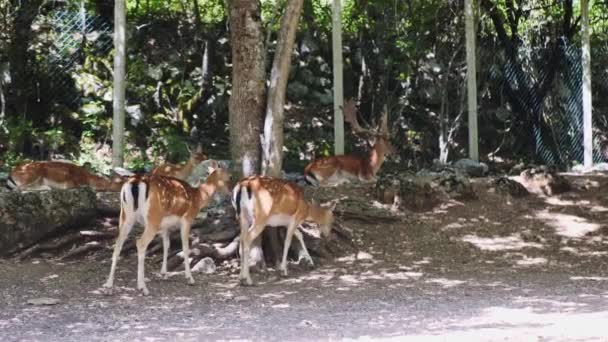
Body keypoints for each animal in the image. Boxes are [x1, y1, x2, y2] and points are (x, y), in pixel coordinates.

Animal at [103, 167, 232, 296]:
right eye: (229, 177)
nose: (231, 194)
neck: (198, 197)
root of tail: (136, 182)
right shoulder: (187, 219)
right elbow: (185, 247)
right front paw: (190, 278)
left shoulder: (165, 226)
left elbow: (167, 245)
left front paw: (163, 273)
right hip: (152, 218)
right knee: (140, 243)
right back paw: (143, 287)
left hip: (125, 215)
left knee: (118, 244)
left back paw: (108, 286)